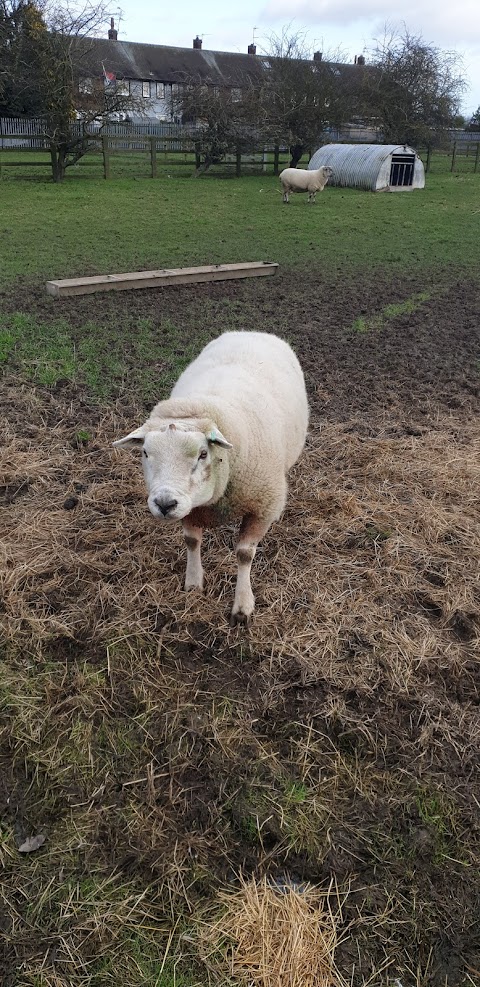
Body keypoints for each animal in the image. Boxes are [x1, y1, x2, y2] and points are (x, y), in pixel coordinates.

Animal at [113, 332, 308, 624]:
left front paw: (243, 605)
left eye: (203, 454)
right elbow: (192, 542)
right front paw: (194, 583)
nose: (164, 504)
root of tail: (251, 332)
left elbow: (244, 554)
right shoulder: (190, 508)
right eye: (145, 452)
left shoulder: (262, 506)